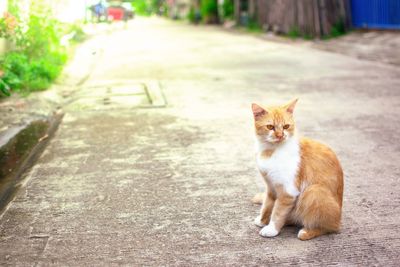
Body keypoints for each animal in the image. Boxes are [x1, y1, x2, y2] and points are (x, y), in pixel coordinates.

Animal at [252, 99, 342, 242]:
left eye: (286, 126)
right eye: (270, 127)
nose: (280, 135)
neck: (270, 151)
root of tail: (339, 219)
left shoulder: (288, 191)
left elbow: (278, 212)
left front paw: (272, 229)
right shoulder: (271, 186)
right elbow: (267, 205)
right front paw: (262, 220)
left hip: (313, 191)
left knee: (330, 227)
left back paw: (307, 231)